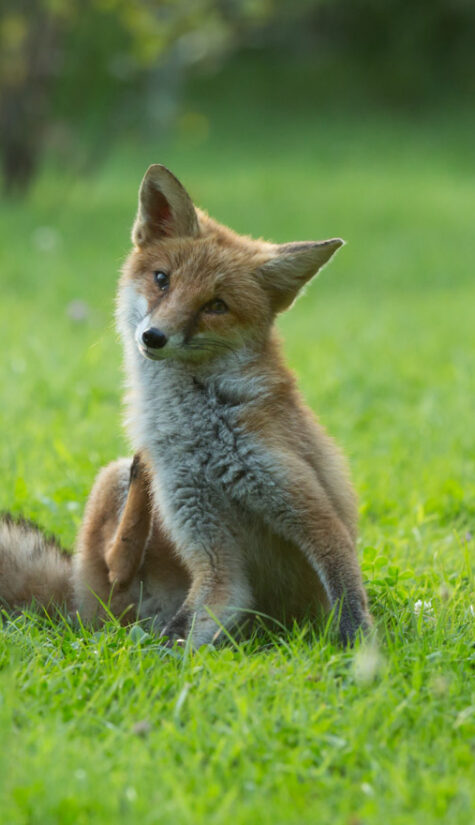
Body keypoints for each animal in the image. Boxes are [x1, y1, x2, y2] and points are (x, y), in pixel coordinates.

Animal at [0, 164, 371, 646]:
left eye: (216, 305)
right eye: (162, 279)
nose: (153, 337)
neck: (203, 435)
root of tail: (75, 609)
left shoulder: (307, 506)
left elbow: (347, 593)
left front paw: (360, 653)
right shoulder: (199, 517)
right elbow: (183, 631)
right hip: (110, 484)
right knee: (115, 565)